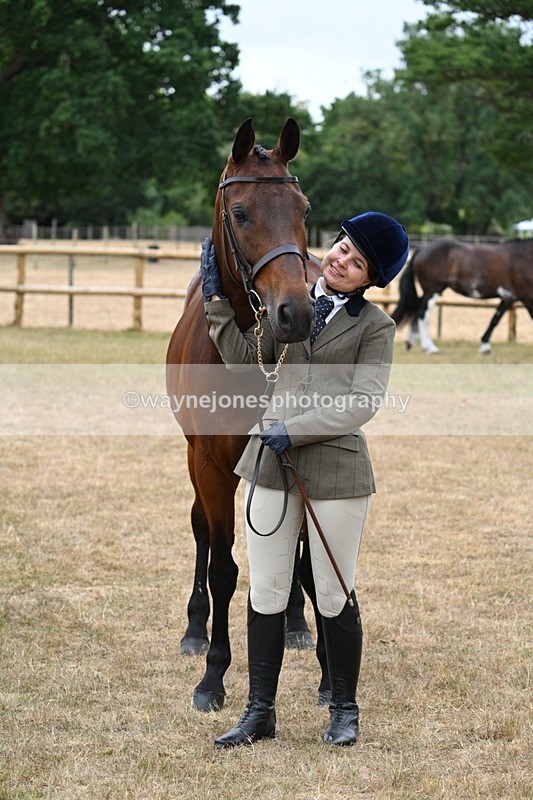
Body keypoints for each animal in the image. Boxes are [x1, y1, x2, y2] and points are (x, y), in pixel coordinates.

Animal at [166, 118, 329, 712]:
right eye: (240, 213)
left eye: (304, 208)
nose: (296, 313)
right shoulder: (211, 466)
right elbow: (222, 567)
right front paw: (212, 676)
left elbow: (302, 559)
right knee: (200, 532)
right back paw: (194, 631)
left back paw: (296, 624)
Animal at [391, 238, 533, 353]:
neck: (526, 256)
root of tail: (422, 249)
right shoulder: (527, 297)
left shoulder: (509, 297)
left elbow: (495, 319)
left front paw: (485, 345)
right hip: (433, 291)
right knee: (422, 314)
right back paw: (430, 347)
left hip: (429, 292)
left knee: (415, 310)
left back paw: (411, 341)